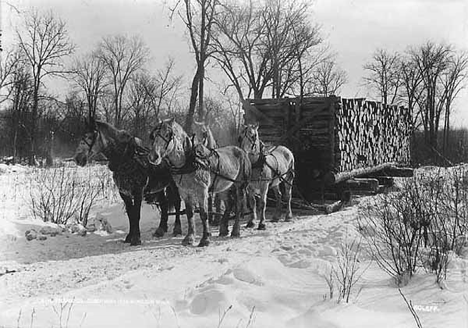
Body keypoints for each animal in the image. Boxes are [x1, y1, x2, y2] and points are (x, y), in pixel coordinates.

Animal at [150, 118, 252, 246]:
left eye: (168, 134)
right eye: (153, 135)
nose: (153, 157)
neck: (190, 161)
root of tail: (242, 151)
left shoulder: (202, 191)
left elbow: (204, 214)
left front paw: (205, 239)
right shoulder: (185, 193)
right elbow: (190, 214)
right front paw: (189, 238)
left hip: (240, 185)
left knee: (238, 205)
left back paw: (236, 230)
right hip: (224, 187)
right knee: (229, 204)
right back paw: (223, 229)